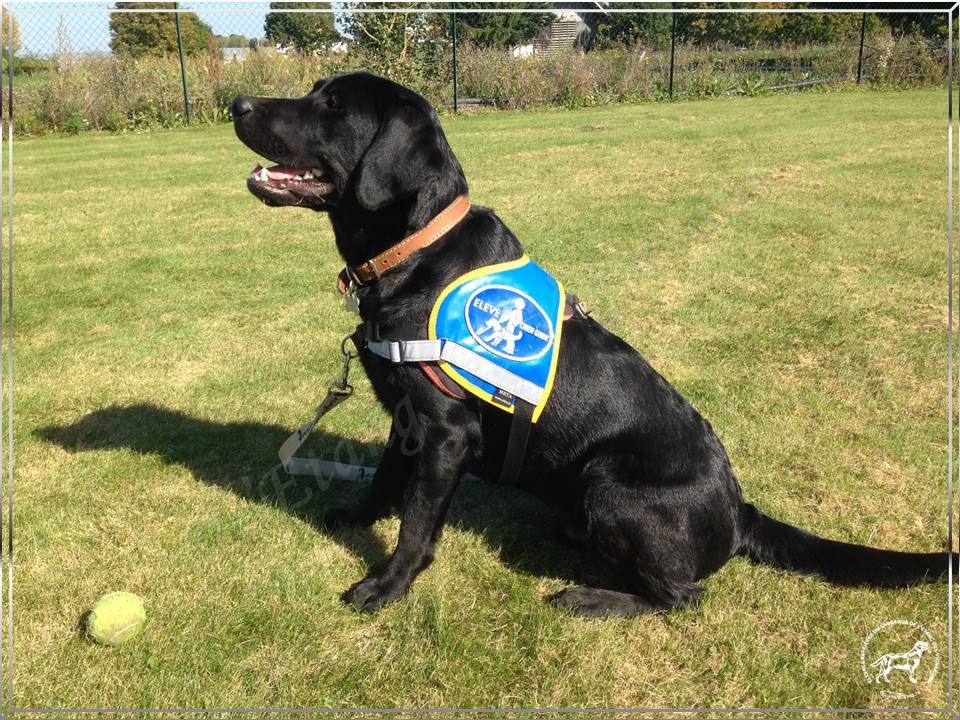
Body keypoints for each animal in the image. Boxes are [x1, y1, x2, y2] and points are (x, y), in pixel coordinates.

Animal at [231, 71, 952, 612]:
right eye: (313, 90)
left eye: (331, 105)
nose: (236, 103)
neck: (415, 252)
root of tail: (741, 511)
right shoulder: (406, 420)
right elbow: (385, 482)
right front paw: (356, 516)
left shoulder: (445, 434)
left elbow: (415, 527)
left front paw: (384, 588)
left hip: (606, 481)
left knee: (682, 597)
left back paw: (589, 598)